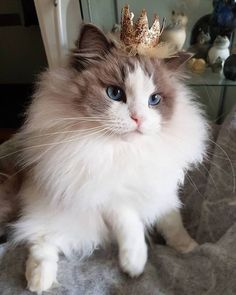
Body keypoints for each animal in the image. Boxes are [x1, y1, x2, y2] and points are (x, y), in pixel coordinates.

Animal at [4, 23, 208, 294]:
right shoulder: (108, 196)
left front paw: (188, 248)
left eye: (154, 100)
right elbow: (131, 225)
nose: (138, 119)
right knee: (41, 240)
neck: (129, 152)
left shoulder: (162, 188)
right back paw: (39, 282)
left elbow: (172, 222)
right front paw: (135, 265)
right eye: (114, 93)